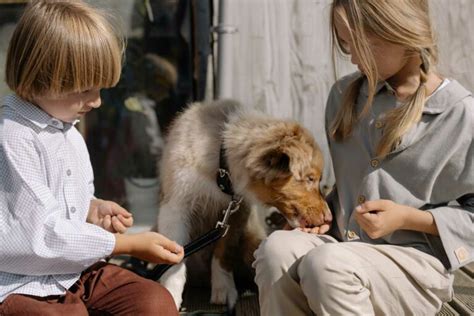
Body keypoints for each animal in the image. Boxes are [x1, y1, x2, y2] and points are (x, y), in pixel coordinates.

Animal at [154, 99, 332, 308]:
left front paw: (223, 289)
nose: (329, 217)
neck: (221, 168)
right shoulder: (175, 206)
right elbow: (174, 257)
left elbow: (223, 252)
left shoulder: (236, 212)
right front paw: (169, 294)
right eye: (310, 178)